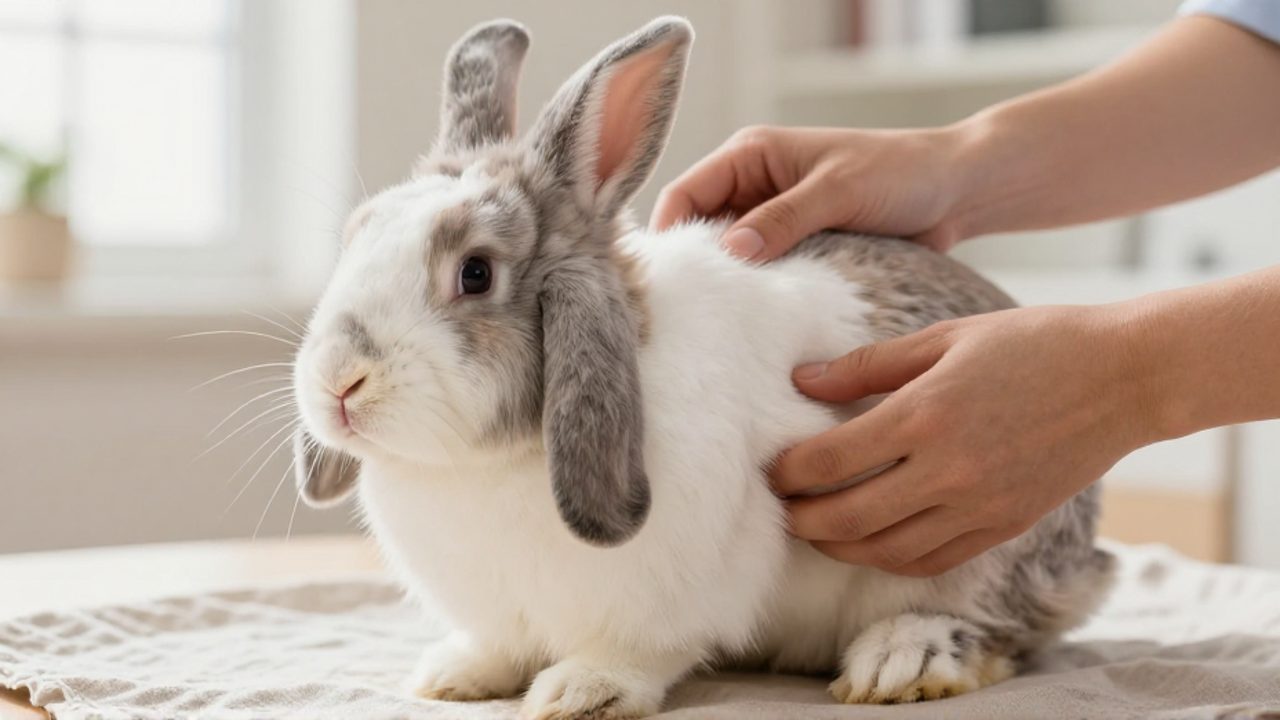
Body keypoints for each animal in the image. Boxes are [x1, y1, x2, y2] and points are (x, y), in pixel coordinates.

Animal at [290, 16, 1115, 720]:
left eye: (474, 274)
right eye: (356, 238)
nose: (338, 382)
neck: (477, 467)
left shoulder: (666, 596)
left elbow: (638, 652)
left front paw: (582, 691)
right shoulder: (503, 608)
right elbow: (497, 645)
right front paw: (453, 675)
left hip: (975, 549)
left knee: (1001, 627)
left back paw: (901, 661)